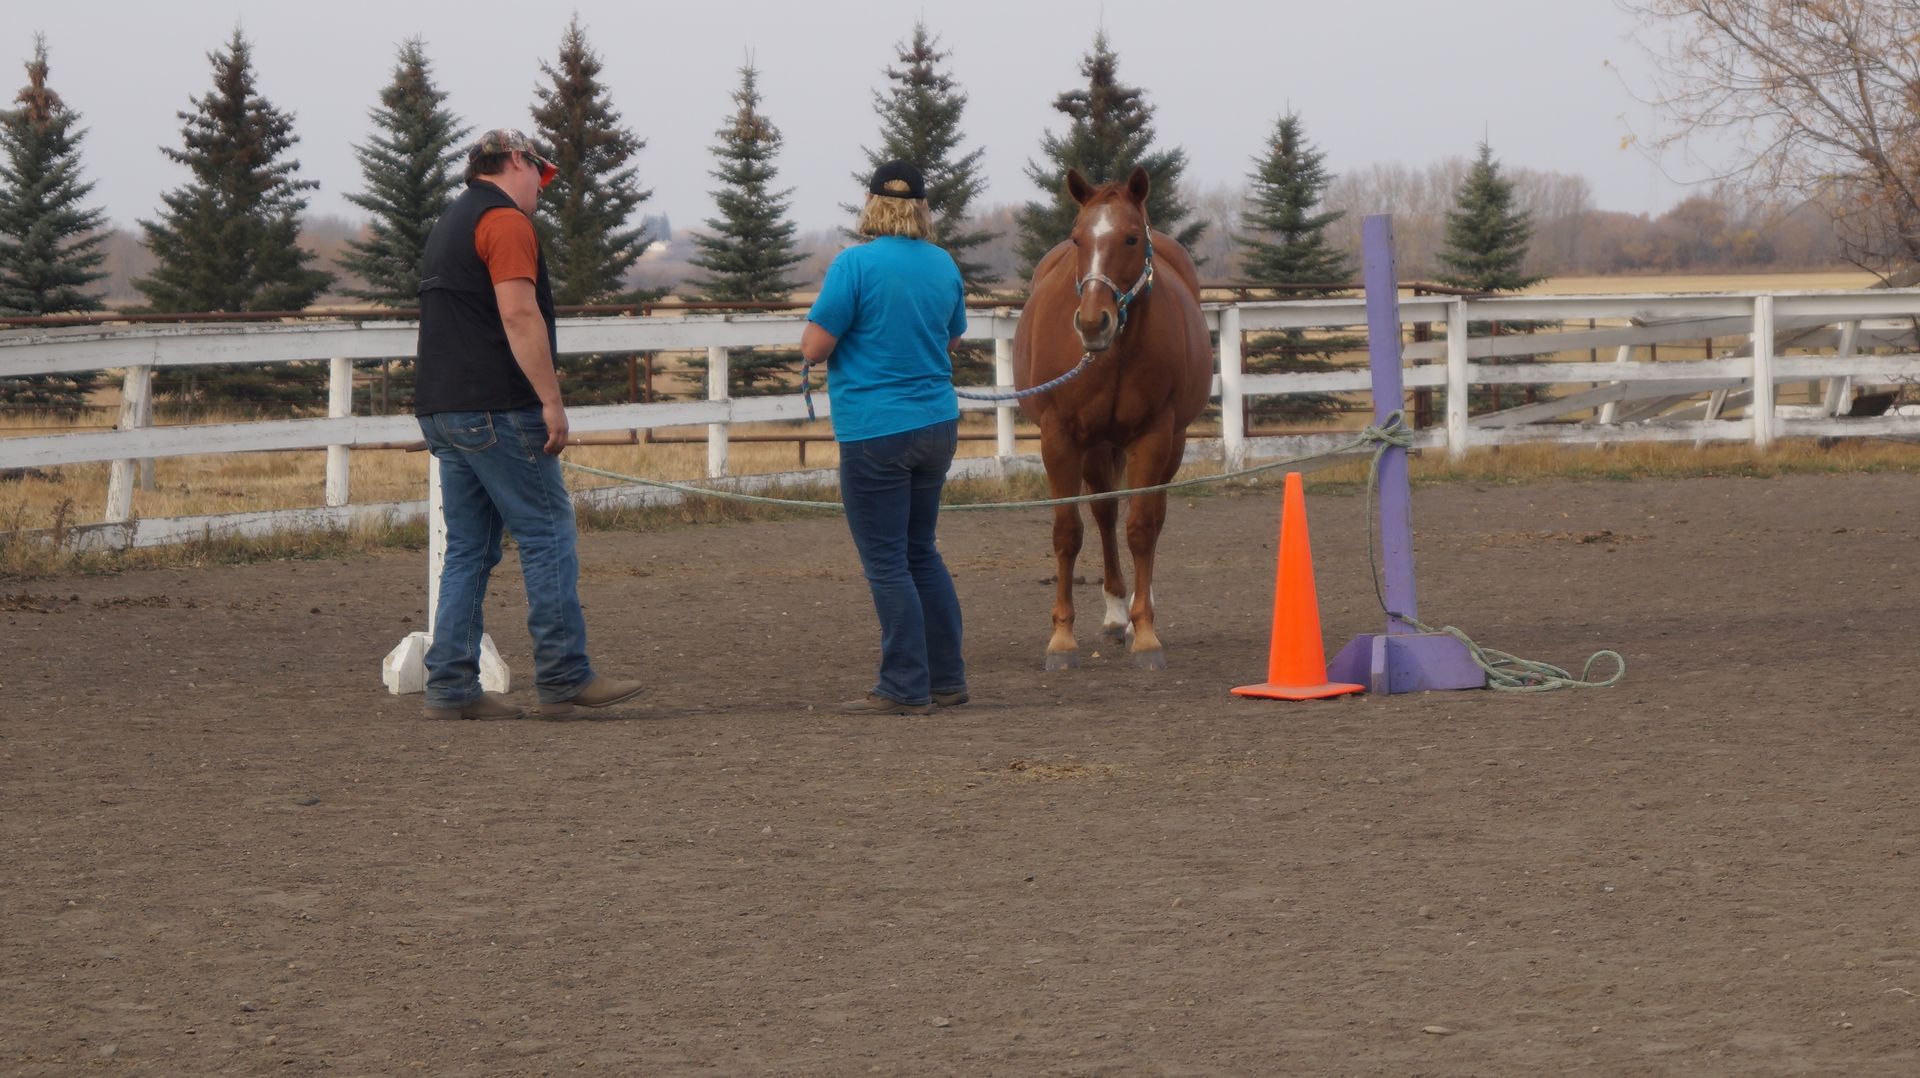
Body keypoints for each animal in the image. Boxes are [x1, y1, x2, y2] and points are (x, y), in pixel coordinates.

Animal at [1012, 165, 1213, 671]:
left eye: (1129, 238)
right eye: (1077, 238)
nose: (1091, 323)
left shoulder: (1154, 435)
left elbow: (1140, 528)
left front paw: (1146, 634)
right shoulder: (1060, 437)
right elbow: (1068, 531)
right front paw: (1062, 639)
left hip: (1170, 444)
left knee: (1152, 516)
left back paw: (1137, 608)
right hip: (1097, 447)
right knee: (1103, 515)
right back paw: (1114, 612)